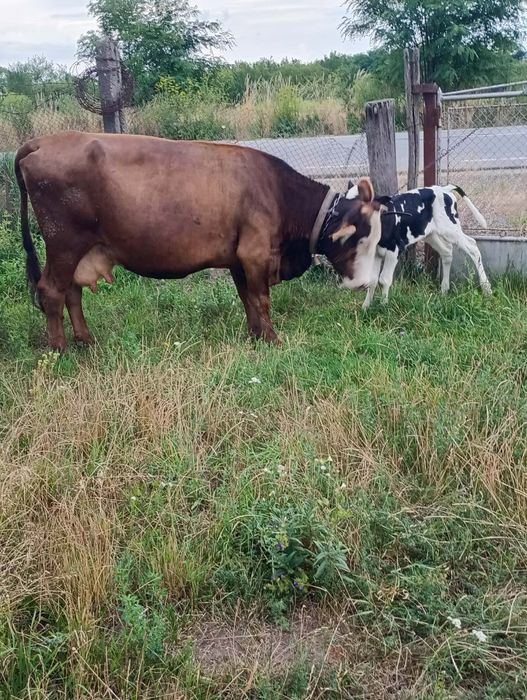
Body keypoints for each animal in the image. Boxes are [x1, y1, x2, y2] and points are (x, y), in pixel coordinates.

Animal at [15, 131, 383, 351]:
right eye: (361, 240)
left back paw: (87, 341)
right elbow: (262, 299)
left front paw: (255, 335)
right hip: (64, 242)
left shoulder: (238, 257)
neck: (277, 191)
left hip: (78, 249)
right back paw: (61, 350)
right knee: (51, 291)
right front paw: (273, 339)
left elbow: (247, 298)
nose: (365, 283)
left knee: (71, 291)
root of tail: (44, 141)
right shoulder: (255, 253)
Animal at [344, 181, 491, 309]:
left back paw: (486, 288)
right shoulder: (375, 253)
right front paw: (366, 307)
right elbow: (372, 280)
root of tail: (444, 188)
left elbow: (384, 279)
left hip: (450, 228)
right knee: (447, 251)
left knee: (472, 246)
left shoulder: (394, 249)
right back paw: (444, 290)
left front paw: (383, 306)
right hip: (430, 234)